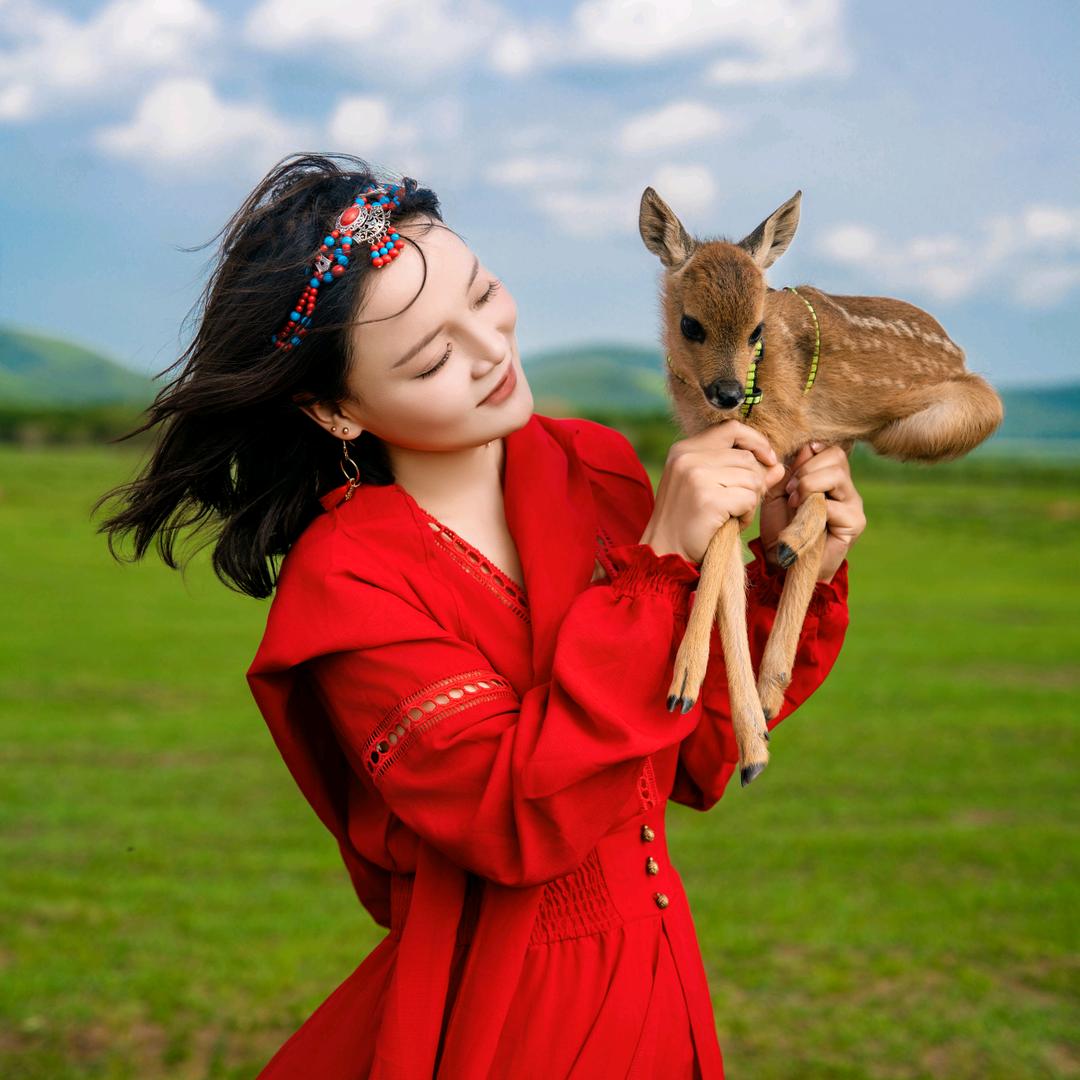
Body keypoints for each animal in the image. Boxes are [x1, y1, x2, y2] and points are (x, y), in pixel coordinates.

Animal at [638, 187, 1004, 788]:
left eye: (756, 330)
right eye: (691, 324)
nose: (728, 392)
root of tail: (959, 351)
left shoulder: (769, 438)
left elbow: (725, 546)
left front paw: (685, 685)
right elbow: (727, 563)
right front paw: (749, 745)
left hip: (921, 424)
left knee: (826, 496)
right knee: (822, 500)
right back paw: (769, 689)